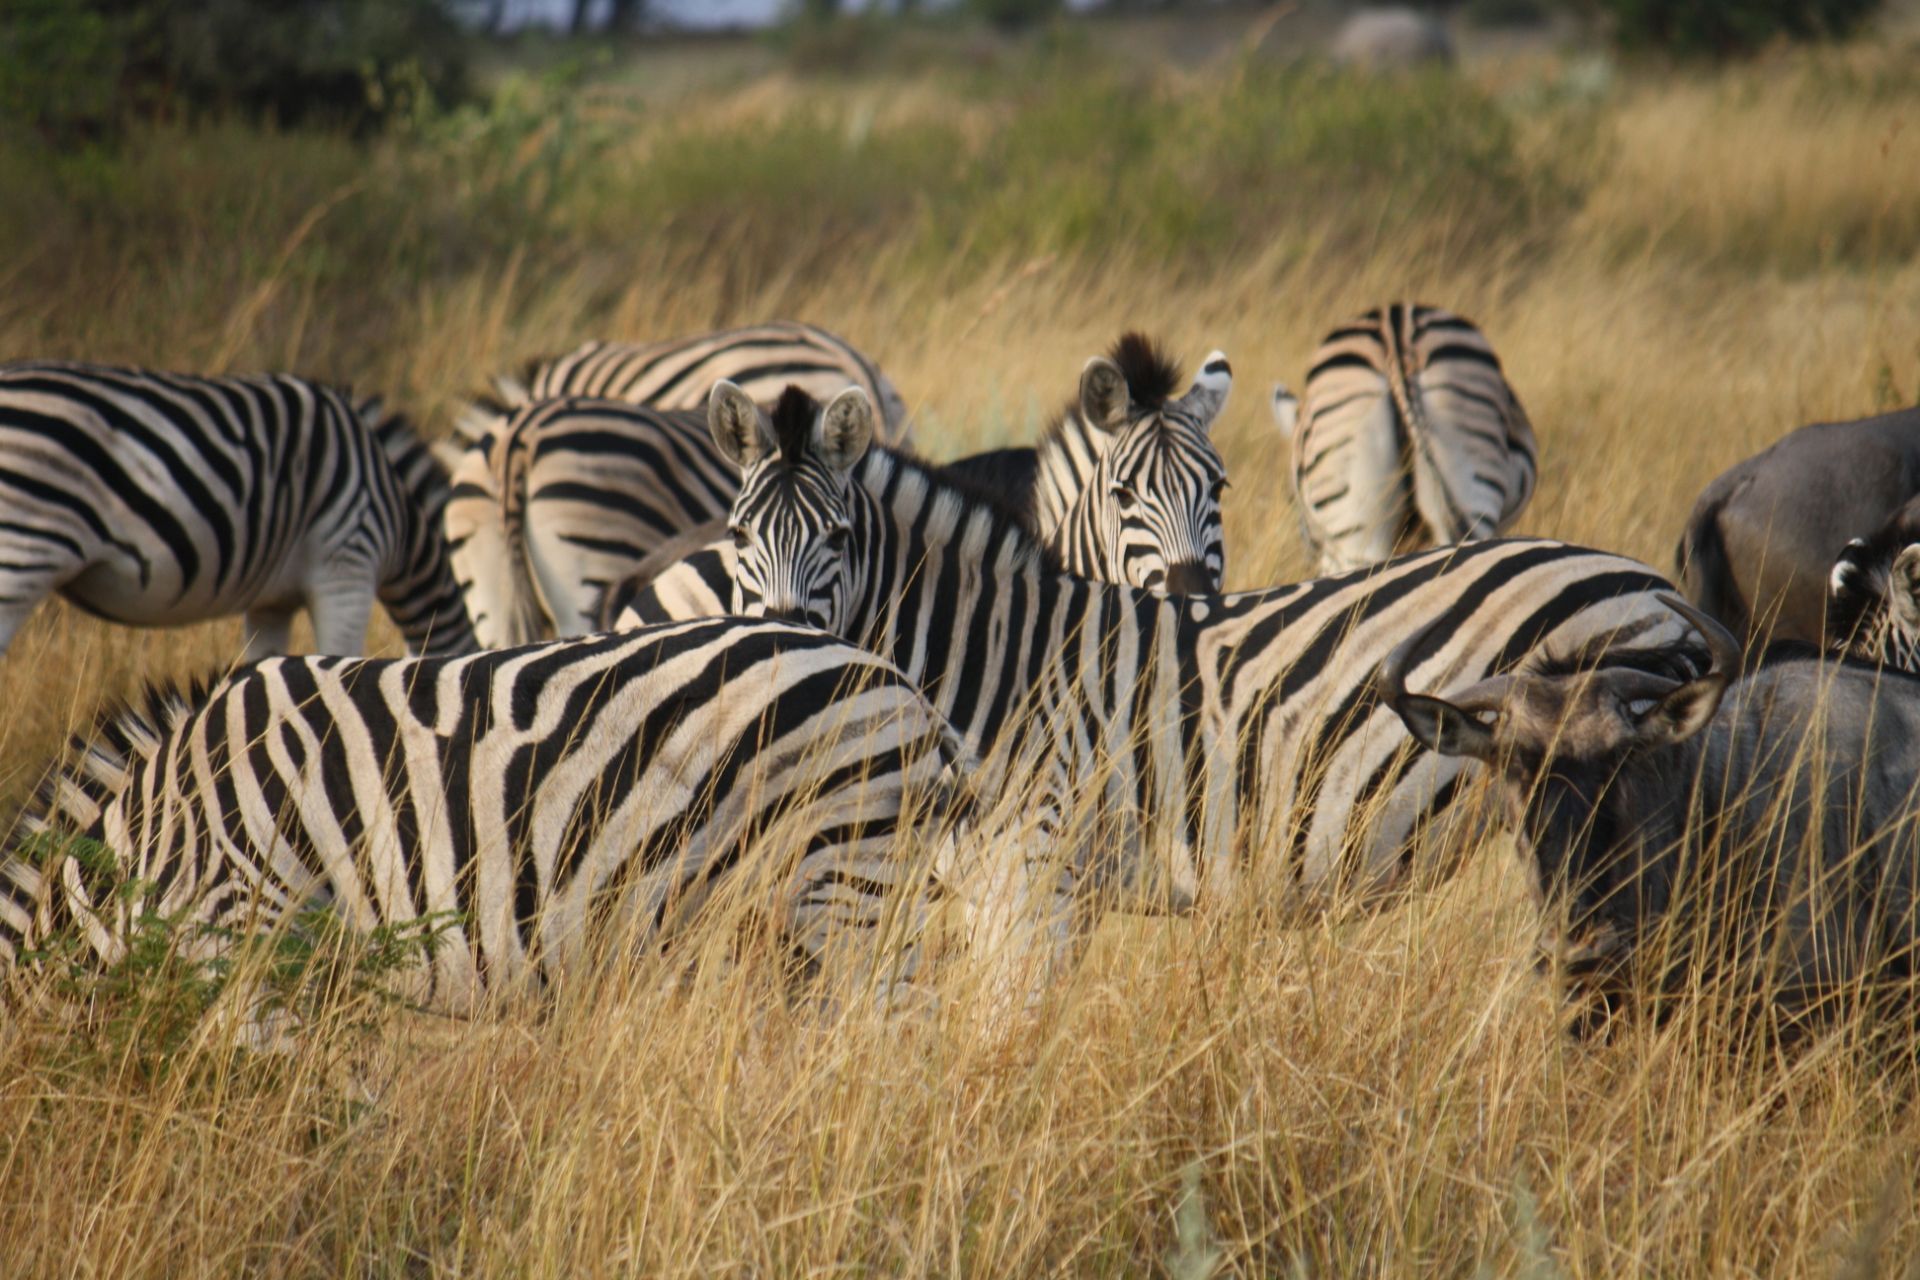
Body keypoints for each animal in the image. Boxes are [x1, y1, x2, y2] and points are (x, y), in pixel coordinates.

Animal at [616, 380, 1700, 980]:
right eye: (741, 536)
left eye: (838, 538)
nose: (780, 640)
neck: (990, 671)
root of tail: (1660, 585)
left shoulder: (1035, 884)